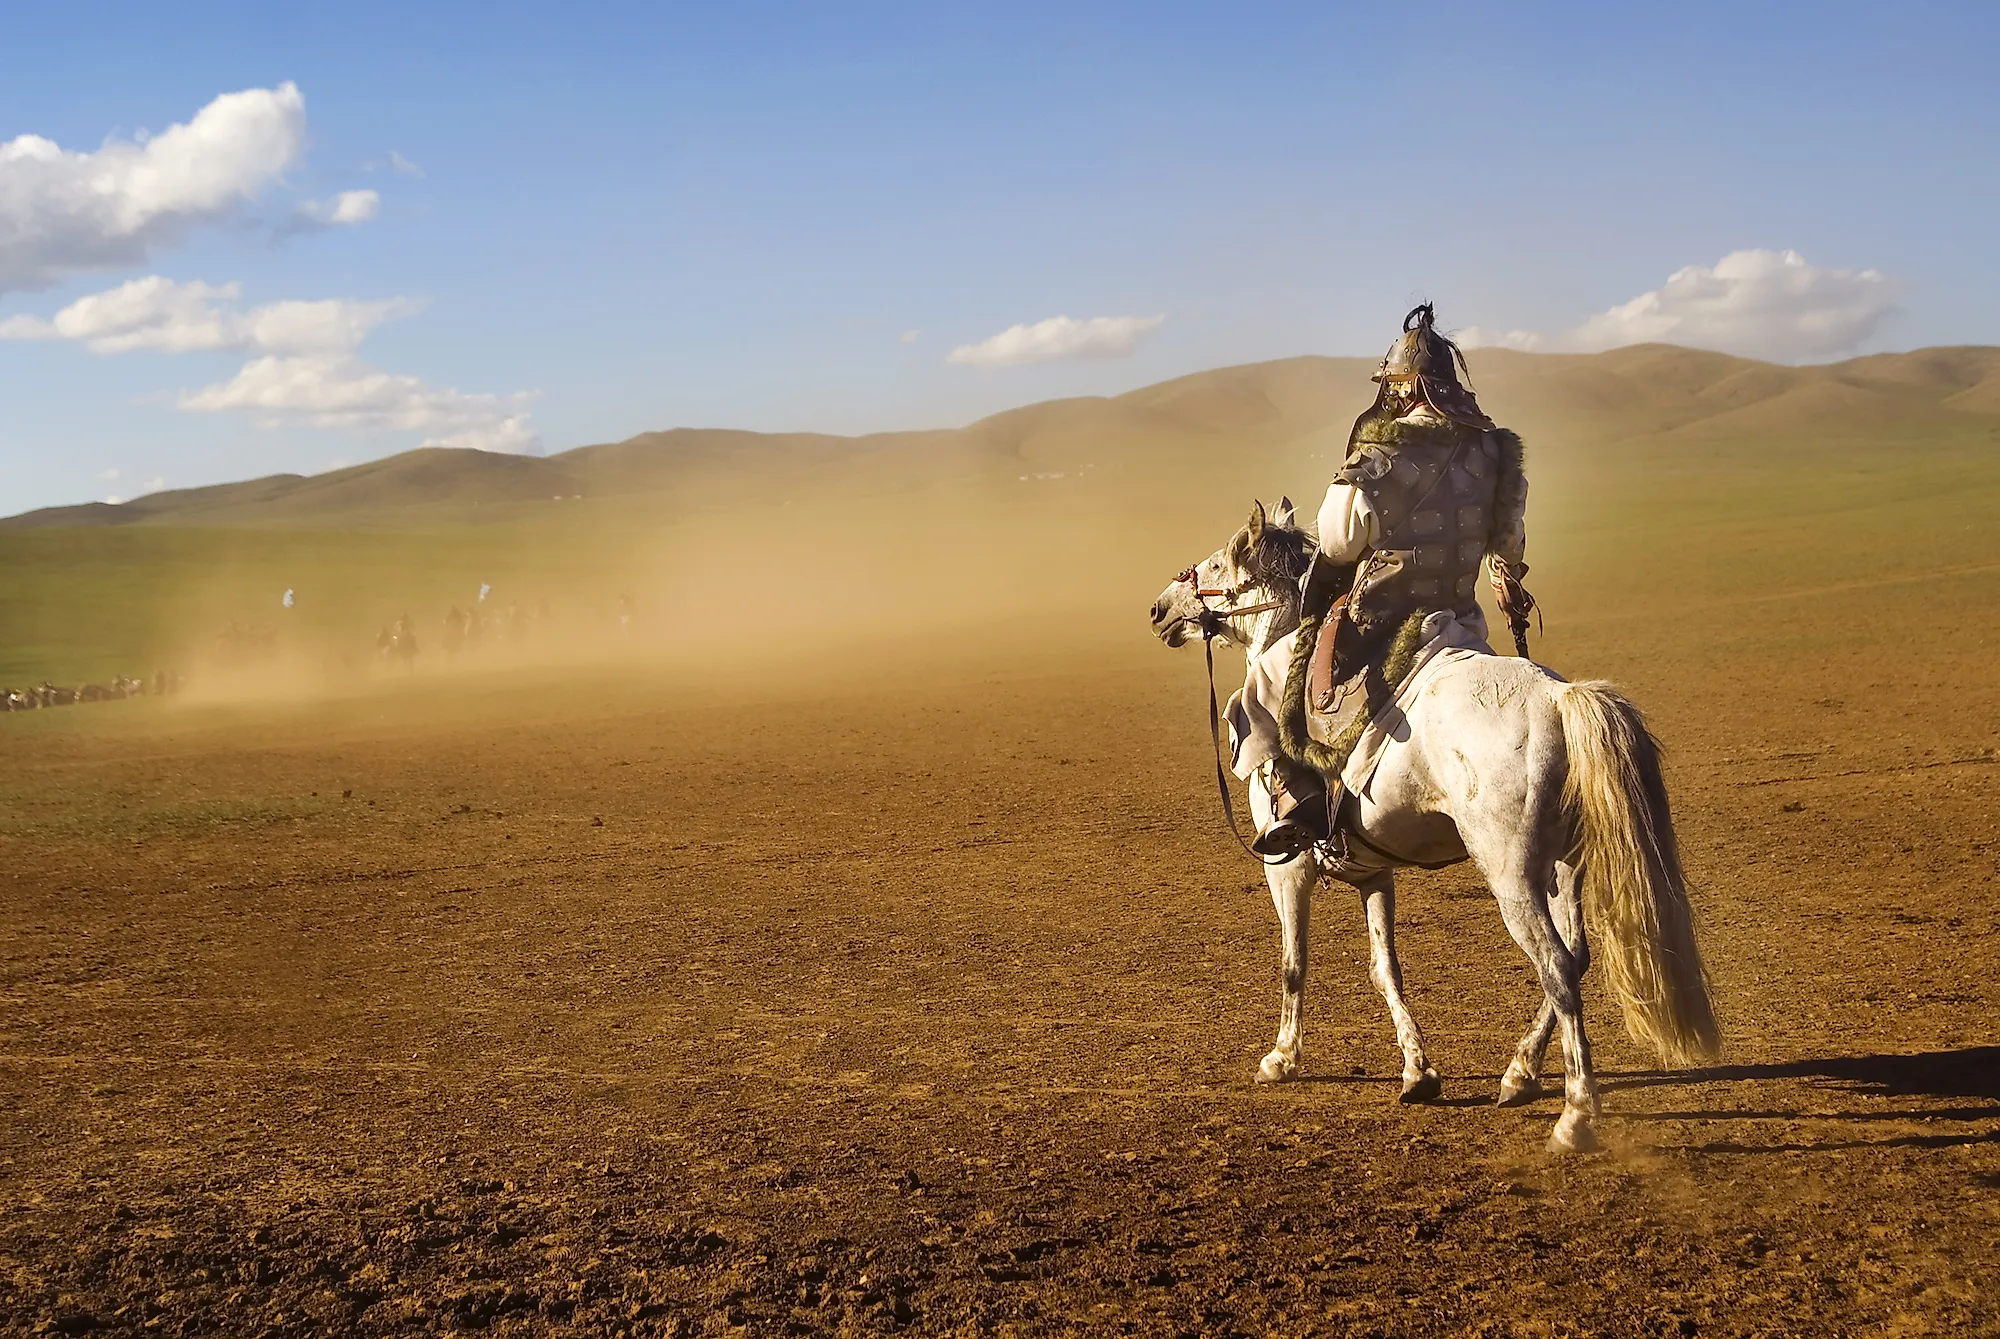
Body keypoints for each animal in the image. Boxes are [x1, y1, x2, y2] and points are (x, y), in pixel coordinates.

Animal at [1160, 501, 1720, 1151]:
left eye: (1217, 565)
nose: (1160, 609)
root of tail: (1558, 700)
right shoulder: (1372, 872)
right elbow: (1385, 970)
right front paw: (1417, 1071)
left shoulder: (1289, 867)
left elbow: (1293, 964)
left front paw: (1281, 1060)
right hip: (1563, 866)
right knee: (1576, 957)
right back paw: (1521, 1073)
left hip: (1512, 876)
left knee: (1556, 966)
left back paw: (1576, 1114)